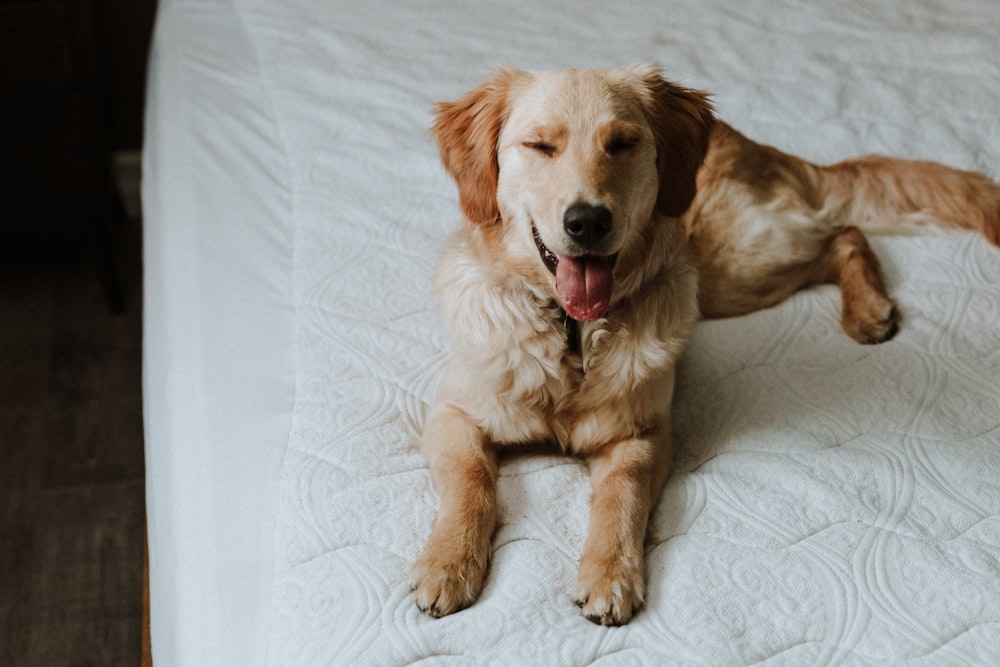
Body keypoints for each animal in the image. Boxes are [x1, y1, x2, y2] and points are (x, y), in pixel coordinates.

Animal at [408, 66, 1000, 628]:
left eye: (621, 144)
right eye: (539, 146)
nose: (588, 221)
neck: (573, 333)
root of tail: (755, 143)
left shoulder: (642, 435)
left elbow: (621, 498)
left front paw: (610, 575)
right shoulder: (454, 414)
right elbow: (472, 482)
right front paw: (449, 563)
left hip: (735, 267)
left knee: (844, 234)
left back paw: (868, 309)